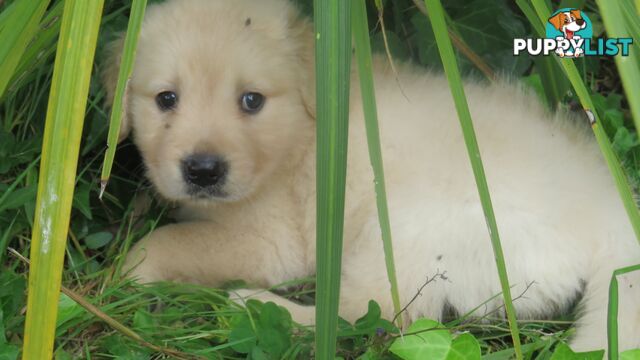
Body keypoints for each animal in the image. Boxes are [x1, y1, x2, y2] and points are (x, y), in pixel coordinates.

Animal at [102, 0, 640, 352]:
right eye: (166, 99)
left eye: (251, 100)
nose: (202, 171)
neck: (302, 134)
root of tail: (609, 211)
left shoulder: (275, 240)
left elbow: (160, 245)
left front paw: (124, 276)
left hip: (404, 226)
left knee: (373, 316)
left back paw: (252, 306)